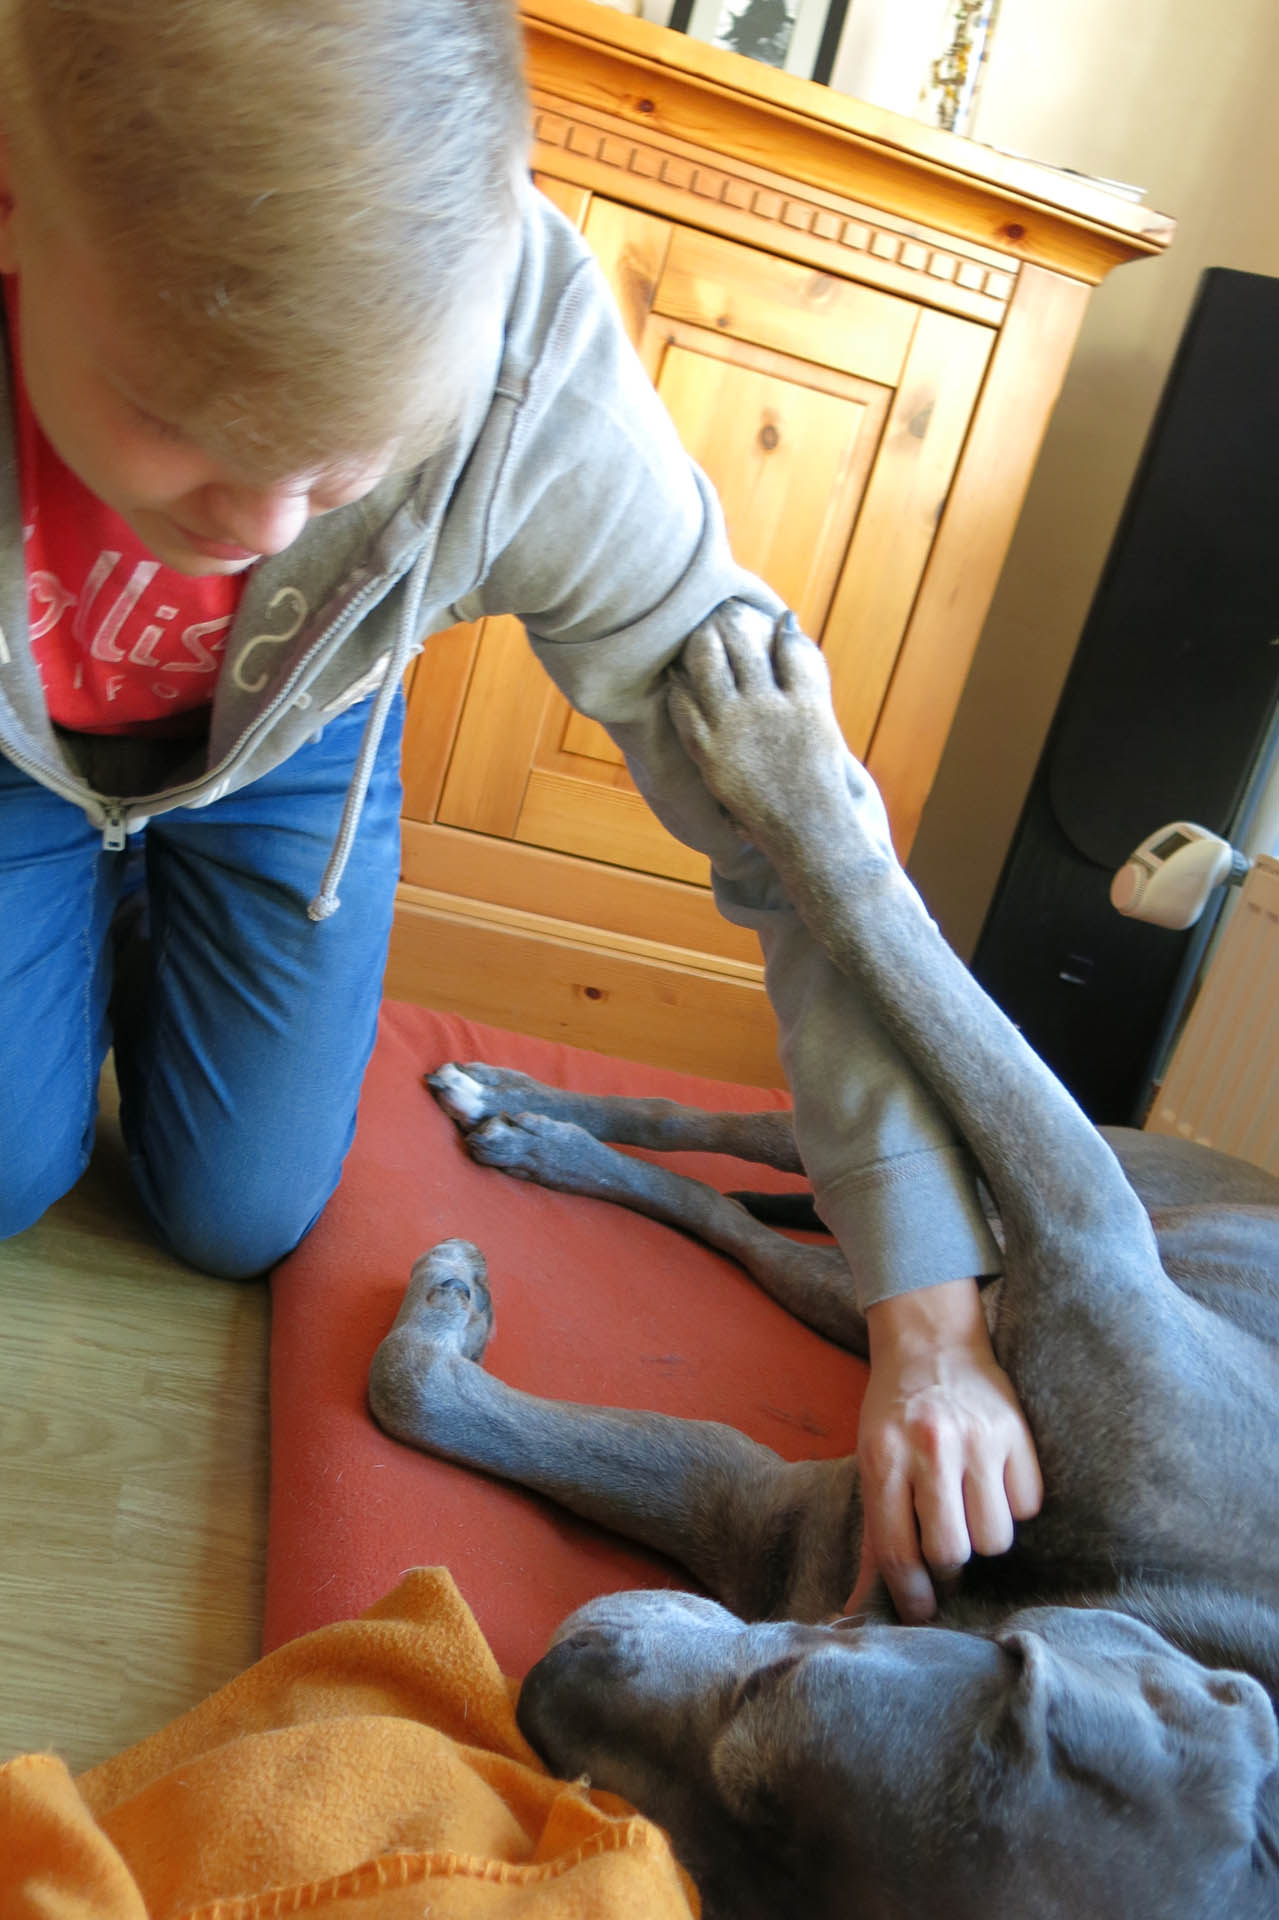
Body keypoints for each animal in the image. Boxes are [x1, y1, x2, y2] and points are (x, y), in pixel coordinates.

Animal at [369, 617, 1279, 1918]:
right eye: (777, 1687)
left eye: (709, 1870)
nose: (543, 1681)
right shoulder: (1082, 1225)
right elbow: (890, 926)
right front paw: (787, 754)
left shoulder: (772, 1518)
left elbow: (434, 1398)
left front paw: (448, 1316)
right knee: (742, 1139)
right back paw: (529, 1102)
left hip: (882, 1302)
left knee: (756, 1235)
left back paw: (559, 1147)